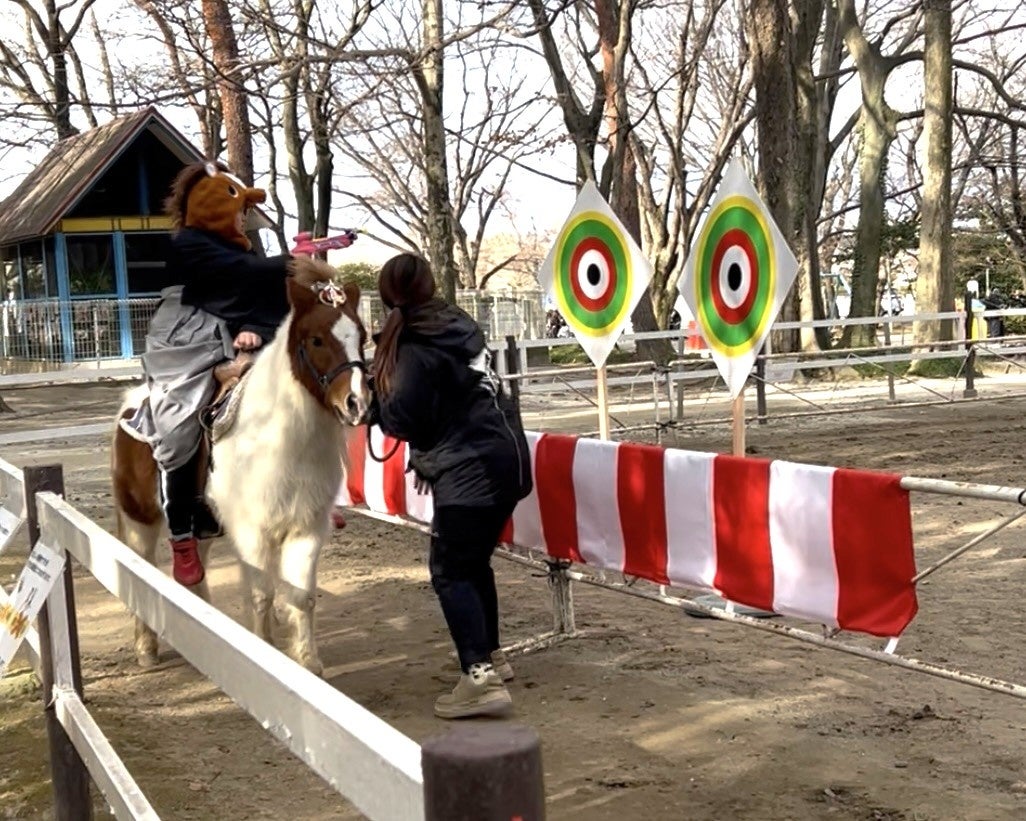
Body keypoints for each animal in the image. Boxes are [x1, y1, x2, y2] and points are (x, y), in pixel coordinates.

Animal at [111, 258, 370, 675]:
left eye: (361, 335)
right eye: (316, 339)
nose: (357, 403)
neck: (279, 441)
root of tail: (131, 404)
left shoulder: (306, 529)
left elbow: (302, 596)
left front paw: (308, 666)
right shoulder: (252, 532)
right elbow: (263, 595)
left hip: (201, 528)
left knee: (195, 575)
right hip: (140, 521)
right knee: (139, 570)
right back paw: (146, 650)